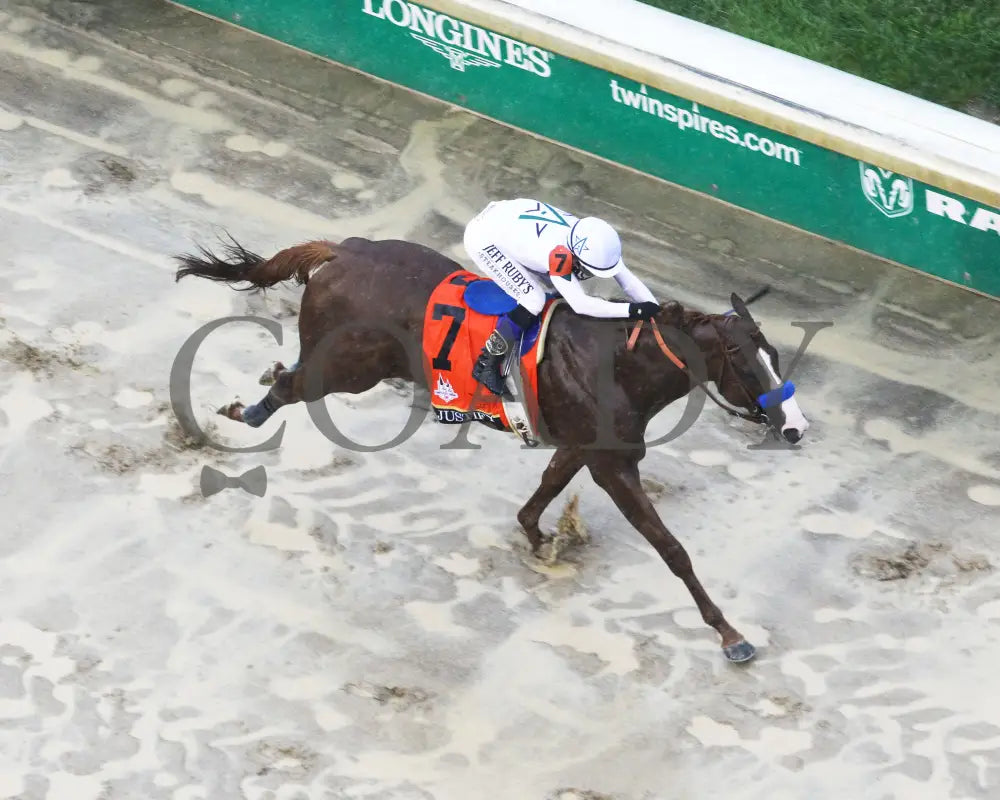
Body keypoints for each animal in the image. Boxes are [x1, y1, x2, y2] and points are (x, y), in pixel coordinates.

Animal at [176, 236, 808, 664]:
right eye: (746, 359)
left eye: (774, 351)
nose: (796, 427)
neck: (620, 362)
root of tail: (346, 249)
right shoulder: (613, 464)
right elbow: (671, 549)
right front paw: (731, 636)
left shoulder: (583, 447)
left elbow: (543, 494)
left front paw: (541, 540)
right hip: (348, 370)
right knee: (290, 387)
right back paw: (237, 416)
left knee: (288, 377)